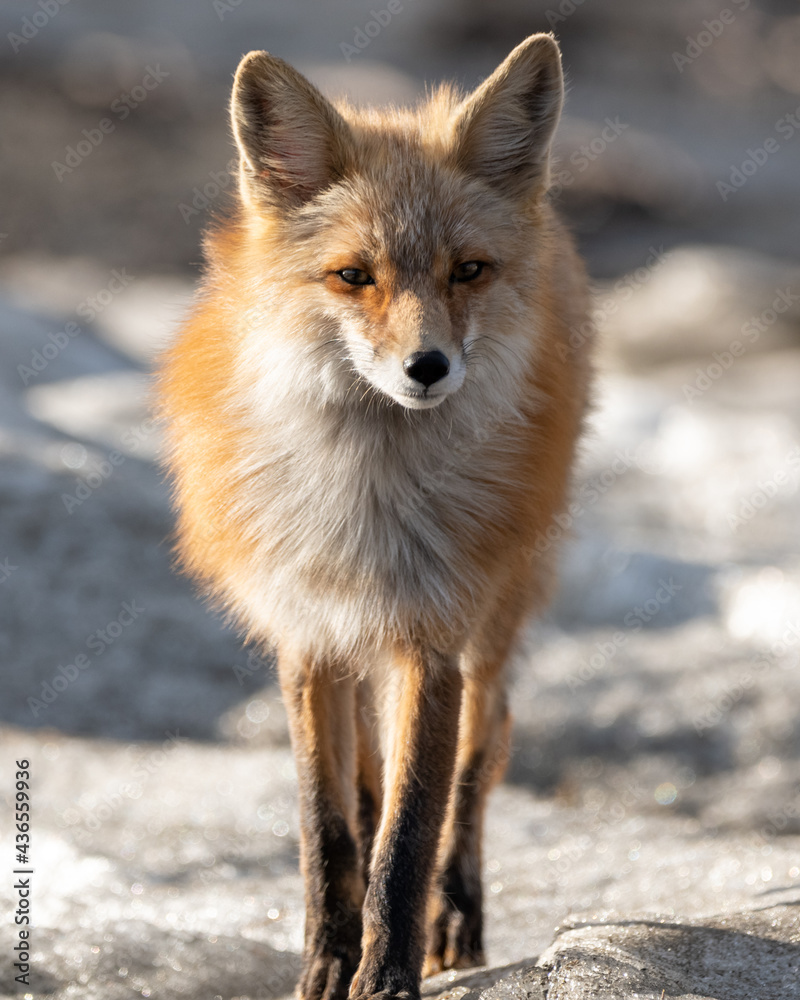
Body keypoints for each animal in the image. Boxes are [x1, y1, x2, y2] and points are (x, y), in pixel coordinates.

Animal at [158, 32, 593, 1000]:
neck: (367, 496)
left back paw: (456, 917)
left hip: (494, 621)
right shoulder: (307, 638)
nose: (427, 367)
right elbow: (330, 829)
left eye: (468, 270)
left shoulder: (430, 641)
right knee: (364, 786)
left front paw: (387, 973)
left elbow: (409, 830)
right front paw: (329, 963)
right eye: (353, 276)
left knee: (479, 757)